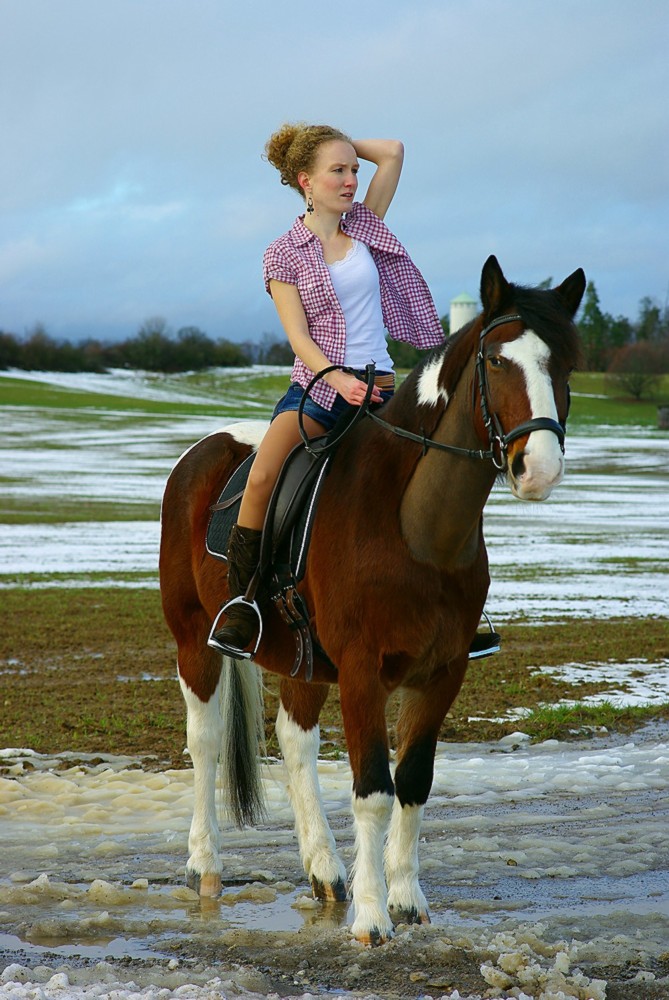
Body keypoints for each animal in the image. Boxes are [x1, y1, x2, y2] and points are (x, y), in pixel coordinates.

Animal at [159, 256, 580, 944]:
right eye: (496, 360)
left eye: (565, 364)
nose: (538, 467)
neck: (416, 526)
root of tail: (202, 452)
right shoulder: (362, 672)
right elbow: (374, 791)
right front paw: (372, 916)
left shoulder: (441, 673)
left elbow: (412, 782)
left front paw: (406, 900)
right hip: (194, 637)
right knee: (206, 741)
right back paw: (206, 866)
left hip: (298, 653)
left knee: (295, 740)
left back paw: (325, 870)